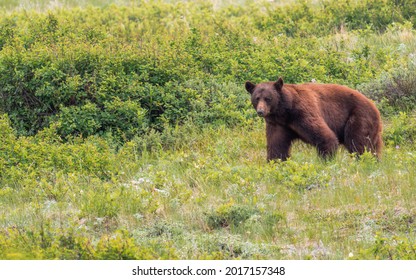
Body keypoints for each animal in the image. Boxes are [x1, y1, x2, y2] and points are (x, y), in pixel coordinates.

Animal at [244, 77, 384, 162]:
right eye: (256, 98)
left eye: (268, 98)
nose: (261, 111)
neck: (285, 111)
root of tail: (375, 107)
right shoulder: (278, 124)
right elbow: (277, 146)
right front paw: (276, 163)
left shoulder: (303, 113)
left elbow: (325, 136)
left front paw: (326, 160)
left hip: (359, 117)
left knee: (358, 143)